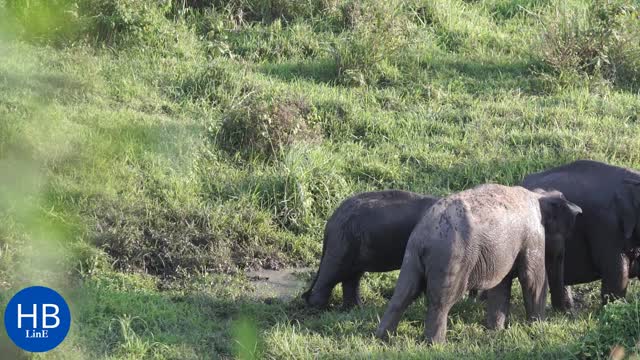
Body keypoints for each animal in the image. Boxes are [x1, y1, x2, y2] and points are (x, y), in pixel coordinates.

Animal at [302, 190, 440, 308]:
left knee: (352, 275)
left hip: (351, 243)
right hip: (342, 242)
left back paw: (355, 308)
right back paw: (319, 307)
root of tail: (331, 221)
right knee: (333, 272)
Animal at [376, 184, 580, 344]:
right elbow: (532, 279)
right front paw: (537, 328)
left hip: (412, 255)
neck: (537, 195)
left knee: (403, 293)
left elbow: (501, 285)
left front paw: (495, 331)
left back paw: (382, 338)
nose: (567, 311)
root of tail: (425, 236)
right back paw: (436, 345)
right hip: (453, 257)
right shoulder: (532, 236)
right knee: (442, 301)